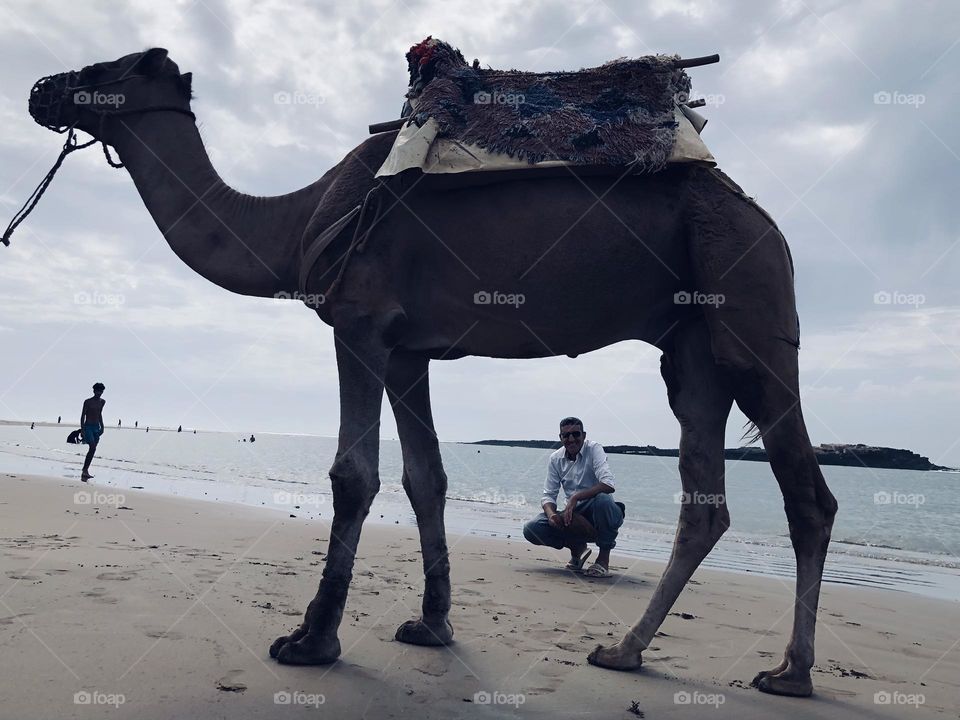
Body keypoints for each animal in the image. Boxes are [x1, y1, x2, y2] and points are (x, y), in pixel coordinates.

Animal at [18, 46, 836, 696]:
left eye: (103, 71)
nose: (38, 89)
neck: (299, 218)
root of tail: (767, 220)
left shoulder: (359, 321)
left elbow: (354, 474)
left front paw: (310, 641)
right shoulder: (409, 348)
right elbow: (427, 477)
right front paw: (432, 626)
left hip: (749, 306)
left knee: (808, 495)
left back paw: (789, 672)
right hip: (690, 346)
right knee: (705, 496)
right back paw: (624, 651)